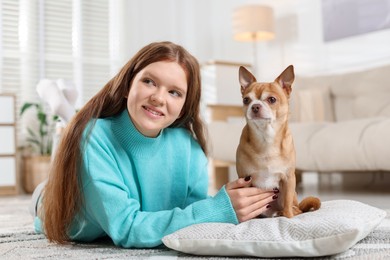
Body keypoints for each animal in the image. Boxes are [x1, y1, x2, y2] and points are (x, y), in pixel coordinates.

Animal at [235, 65, 320, 217]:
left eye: (272, 99)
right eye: (246, 100)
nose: (255, 106)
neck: (266, 138)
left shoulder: (289, 179)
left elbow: (287, 203)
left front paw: (288, 217)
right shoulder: (244, 179)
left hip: (291, 195)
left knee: (296, 208)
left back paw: (283, 213)